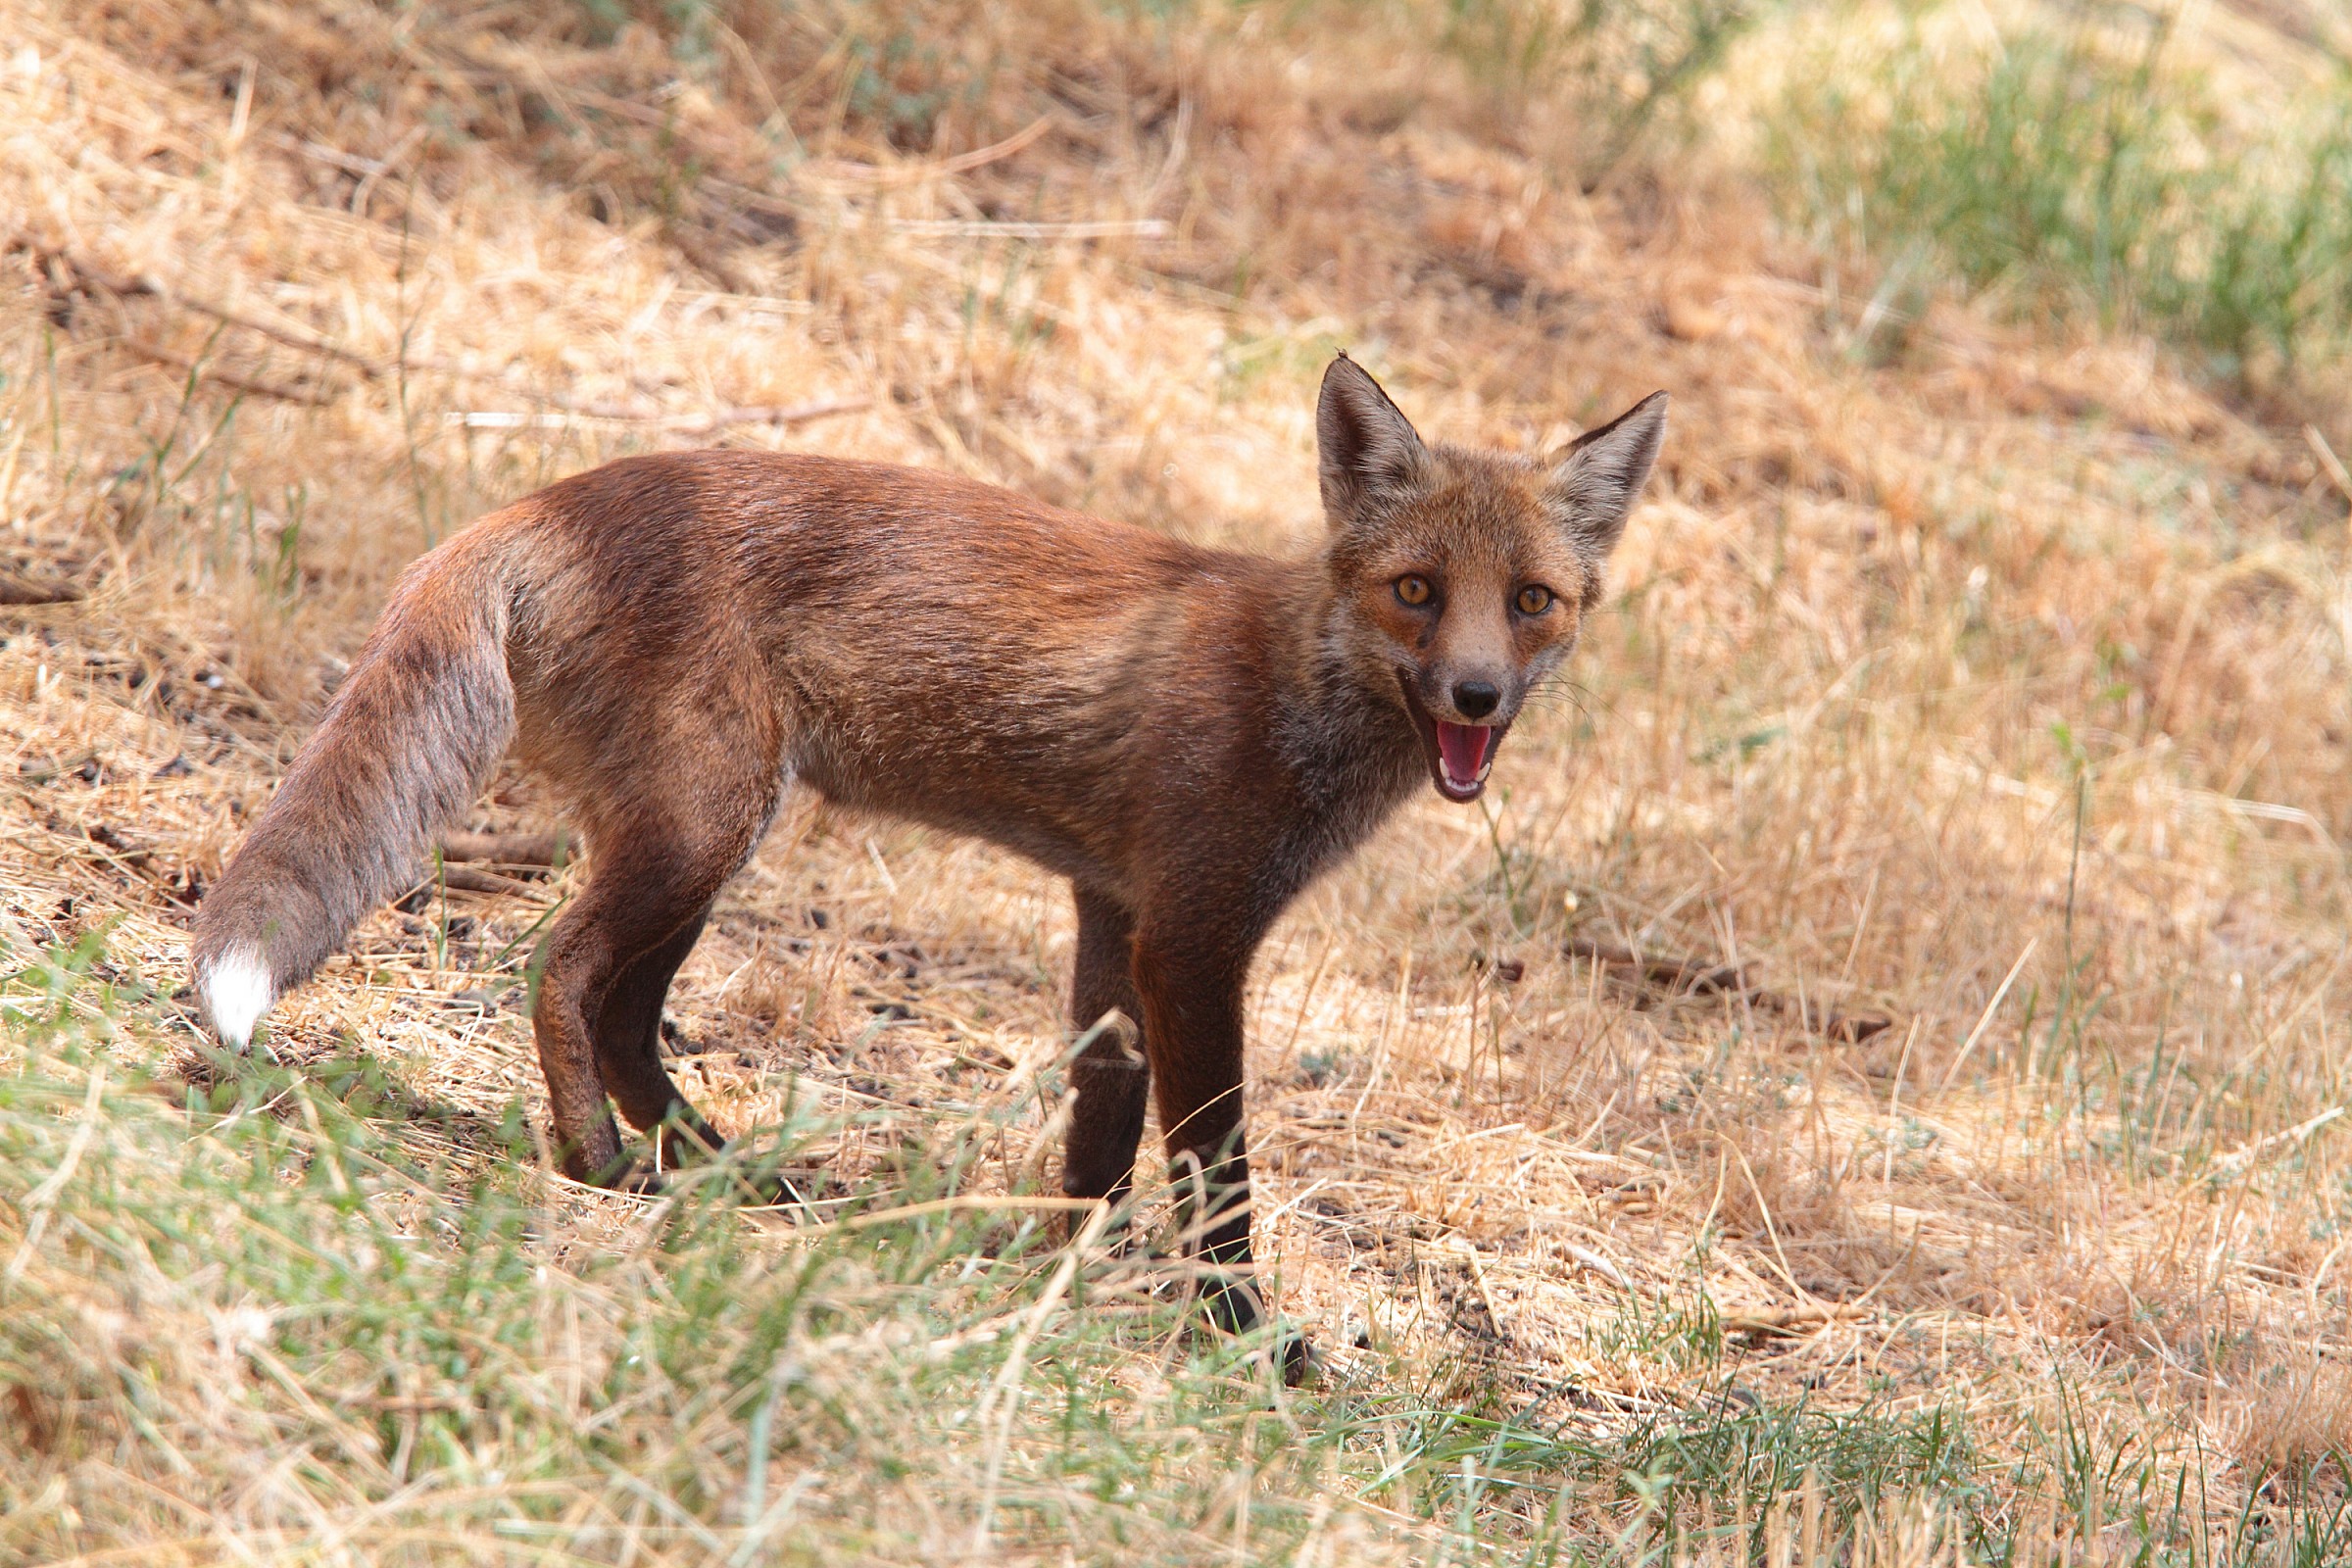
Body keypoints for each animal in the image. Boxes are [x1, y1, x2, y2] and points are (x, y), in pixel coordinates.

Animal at [189, 354, 1664, 1370]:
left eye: (1530, 602)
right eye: (1417, 591)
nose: (1475, 697)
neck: (1298, 696)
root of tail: (550, 497)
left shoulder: (1113, 912)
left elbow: (1099, 1139)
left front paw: (1060, 1283)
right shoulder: (1194, 936)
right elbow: (1215, 1168)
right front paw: (1243, 1334)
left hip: (706, 842)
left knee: (623, 1010)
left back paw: (720, 1169)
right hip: (702, 829)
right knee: (562, 975)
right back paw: (598, 1160)